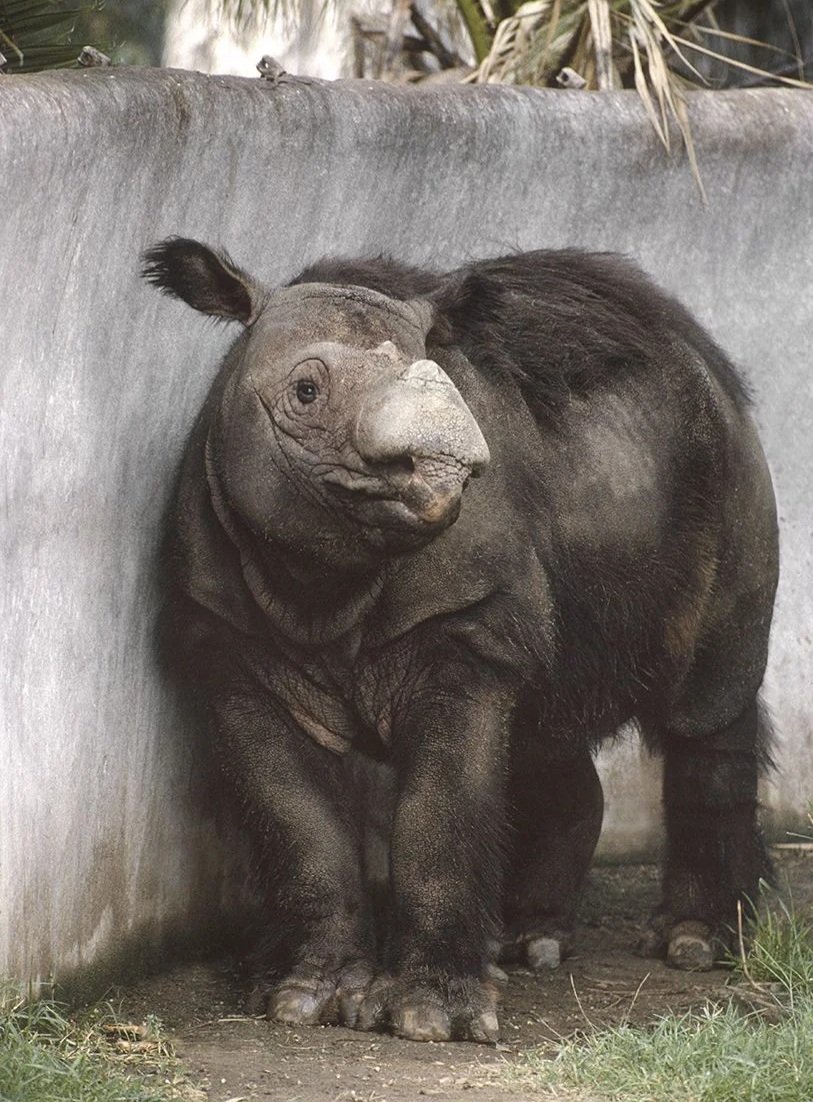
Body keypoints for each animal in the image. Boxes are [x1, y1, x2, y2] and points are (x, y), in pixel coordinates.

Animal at [143, 239, 778, 1043]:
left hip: (728, 468)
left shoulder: (463, 628)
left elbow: (440, 810)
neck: (320, 582)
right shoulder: (227, 642)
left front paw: (426, 1018)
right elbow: (294, 815)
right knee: (543, 724)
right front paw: (302, 998)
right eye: (306, 392)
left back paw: (691, 945)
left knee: (706, 702)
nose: (446, 465)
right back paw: (526, 943)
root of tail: (701, 353)